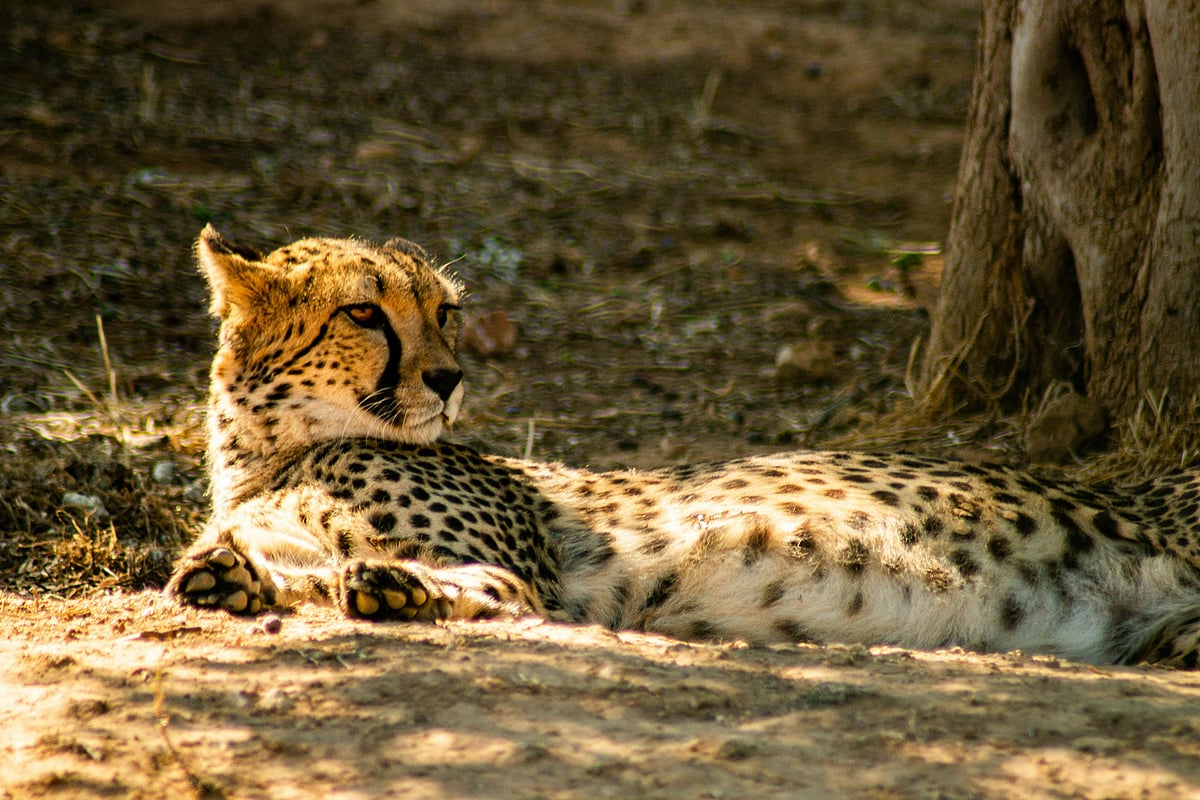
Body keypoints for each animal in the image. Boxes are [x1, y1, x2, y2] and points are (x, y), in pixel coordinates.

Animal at [167, 225, 1200, 668]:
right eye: (363, 313)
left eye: (445, 312)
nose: (450, 378)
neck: (269, 452)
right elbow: (254, 571)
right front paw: (232, 577)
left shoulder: (530, 579)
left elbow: (479, 586)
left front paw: (395, 586)